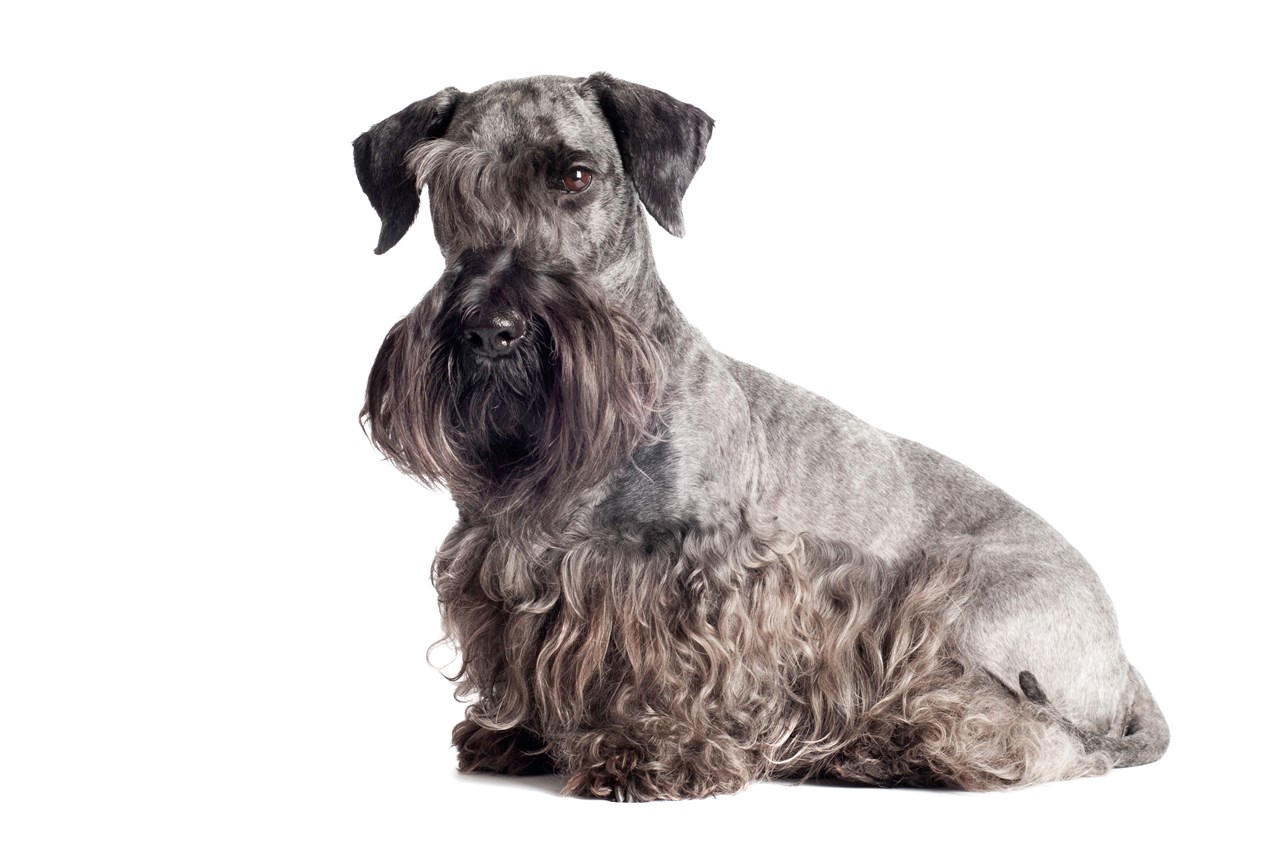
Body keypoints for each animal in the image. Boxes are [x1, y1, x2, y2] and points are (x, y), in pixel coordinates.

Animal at [353, 70, 1165, 799]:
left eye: (574, 176)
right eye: (447, 189)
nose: (492, 330)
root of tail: (1125, 660)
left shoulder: (702, 572)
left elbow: (678, 670)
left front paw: (655, 751)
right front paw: (516, 733)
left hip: (963, 612)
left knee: (1038, 738)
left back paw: (896, 745)